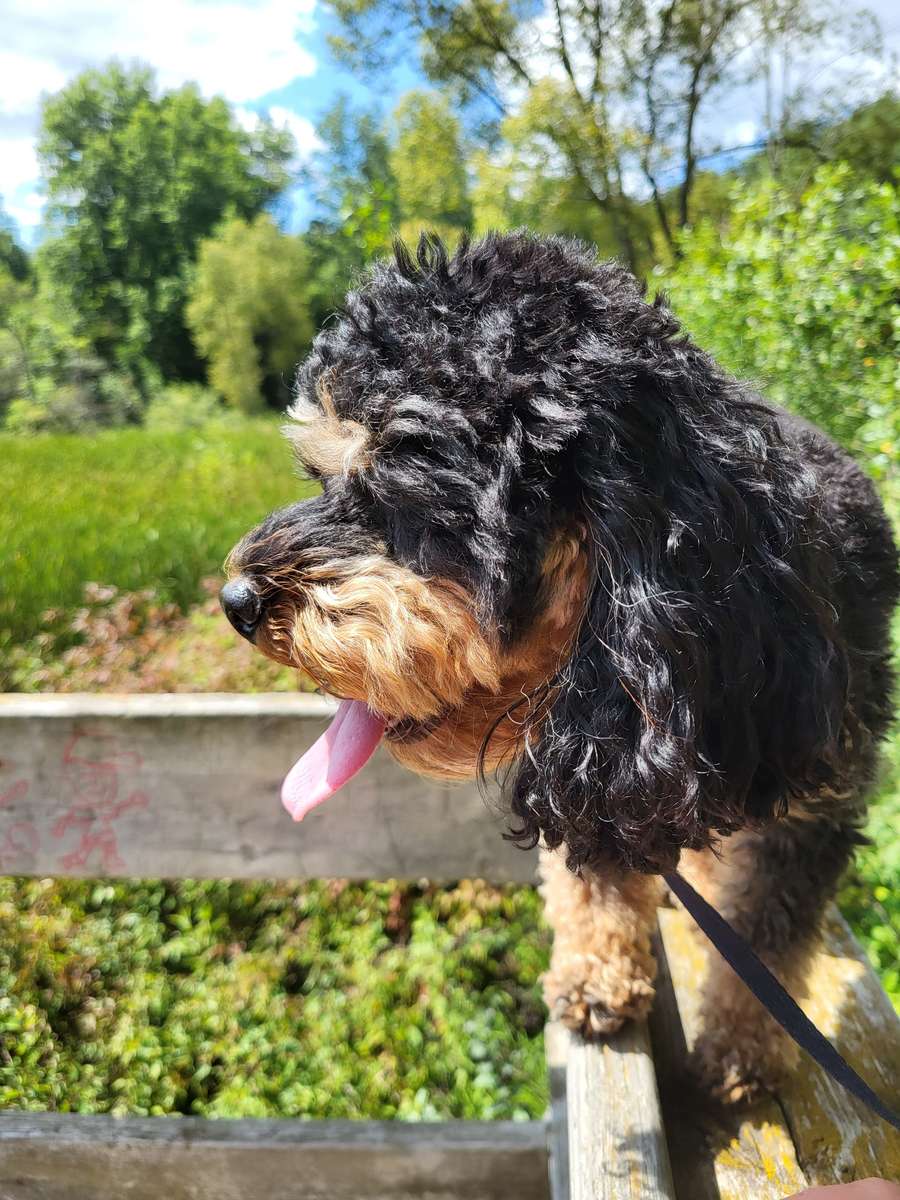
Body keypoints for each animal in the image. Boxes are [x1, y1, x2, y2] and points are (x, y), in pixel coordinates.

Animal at [220, 229, 900, 1099]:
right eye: (321, 475)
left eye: (400, 494)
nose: (235, 600)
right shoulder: (600, 760)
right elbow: (594, 876)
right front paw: (597, 975)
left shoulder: (812, 806)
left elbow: (770, 935)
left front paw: (743, 1055)